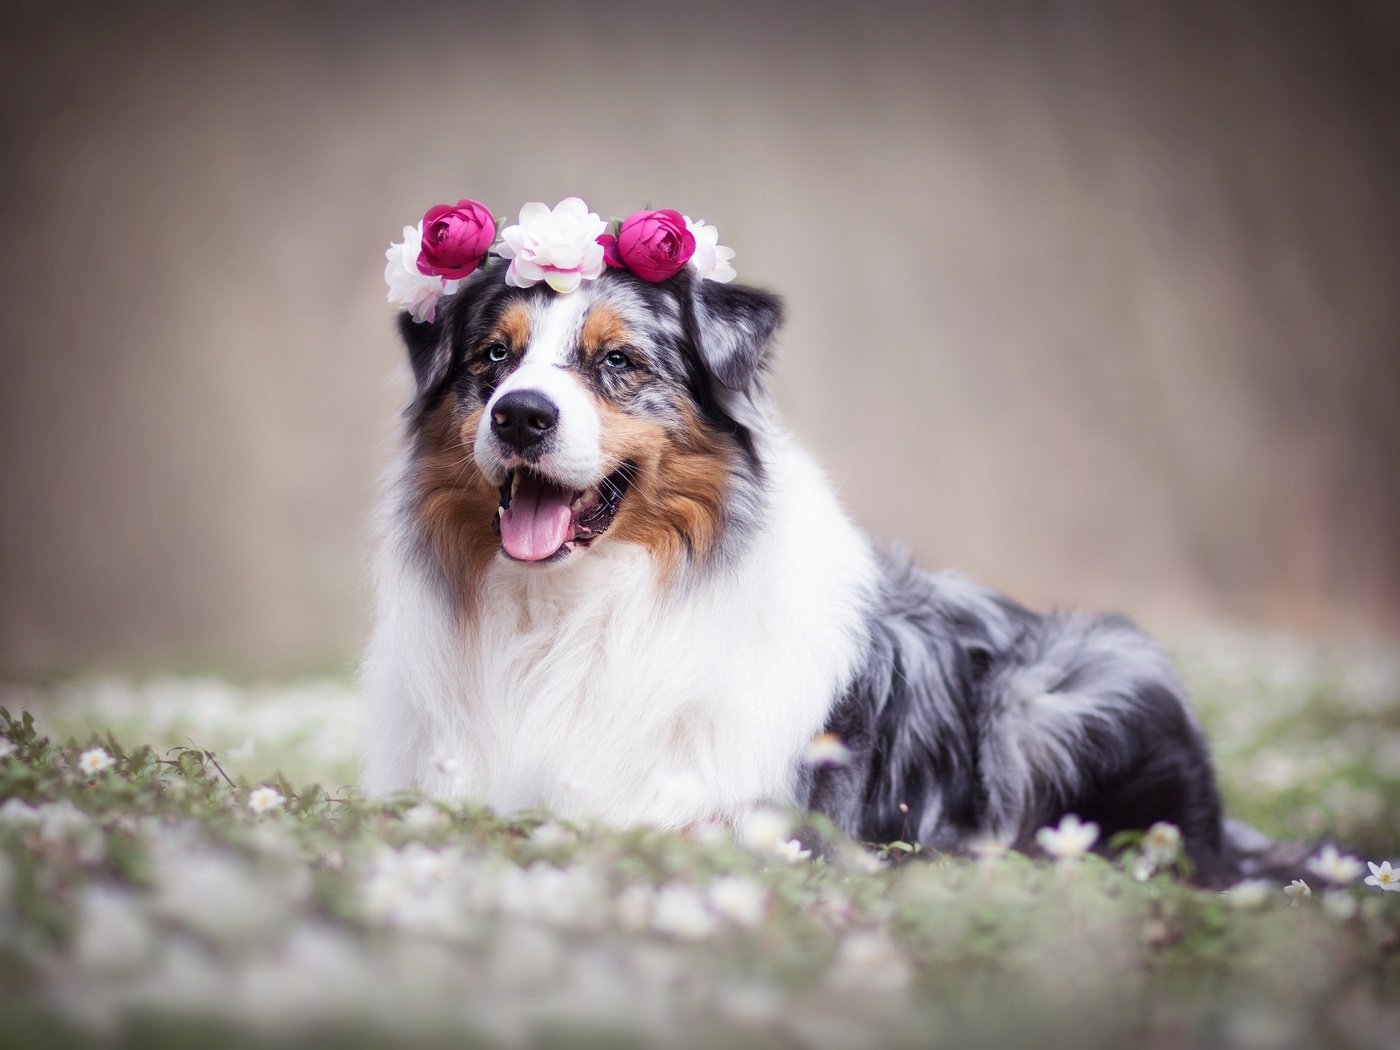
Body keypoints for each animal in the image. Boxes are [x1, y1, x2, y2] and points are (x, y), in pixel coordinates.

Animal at [366, 264, 1276, 890]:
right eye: (493, 355)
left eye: (617, 361)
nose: (520, 415)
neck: (568, 608)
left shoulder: (748, 818)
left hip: (1072, 680)